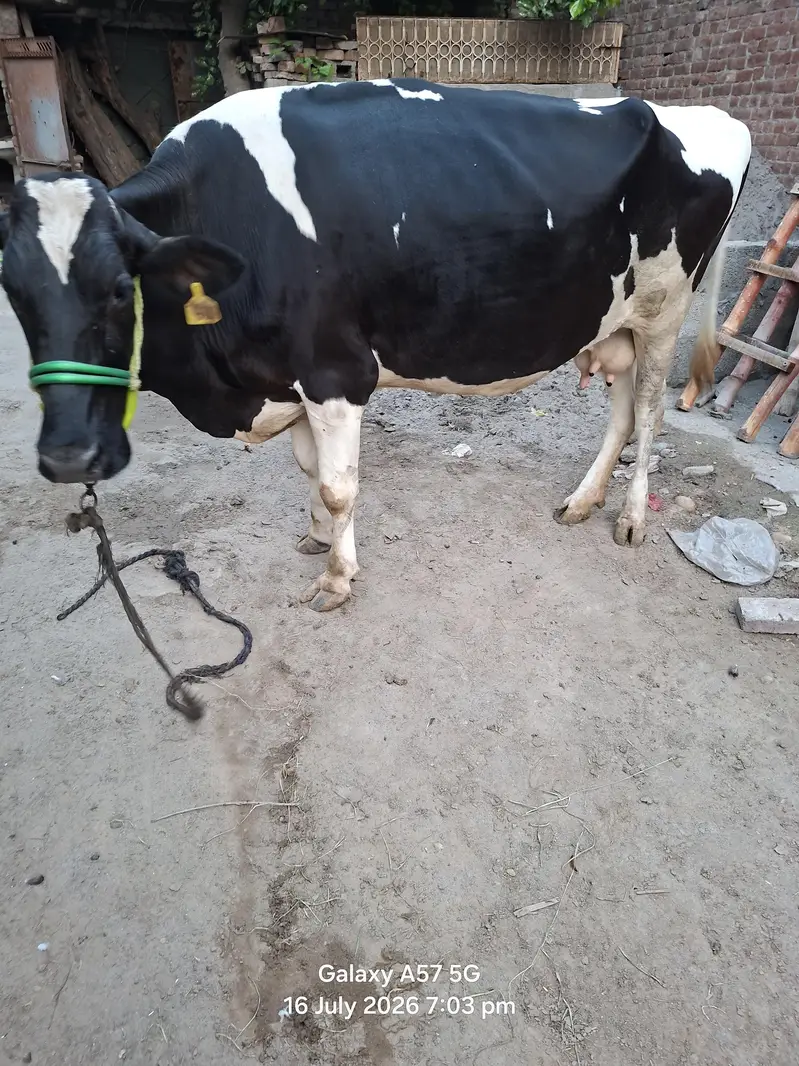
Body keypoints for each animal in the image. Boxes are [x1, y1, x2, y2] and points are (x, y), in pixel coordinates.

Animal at [0, 79, 750, 611]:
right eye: (13, 291)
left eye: (118, 289)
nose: (68, 457)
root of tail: (715, 117)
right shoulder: (292, 377)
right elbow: (309, 472)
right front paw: (315, 540)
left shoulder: (335, 371)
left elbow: (337, 486)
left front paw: (337, 578)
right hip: (615, 319)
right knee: (621, 413)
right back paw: (582, 502)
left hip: (663, 314)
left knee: (650, 414)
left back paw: (629, 518)